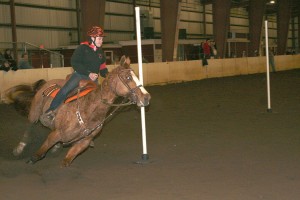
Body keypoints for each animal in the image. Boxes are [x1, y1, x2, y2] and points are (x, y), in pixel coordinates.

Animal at [6, 55, 152, 166]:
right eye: (128, 77)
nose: (146, 97)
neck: (89, 109)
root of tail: (44, 84)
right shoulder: (55, 134)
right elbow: (40, 152)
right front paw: (33, 158)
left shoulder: (83, 142)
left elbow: (66, 162)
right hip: (34, 113)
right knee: (29, 127)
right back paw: (19, 148)